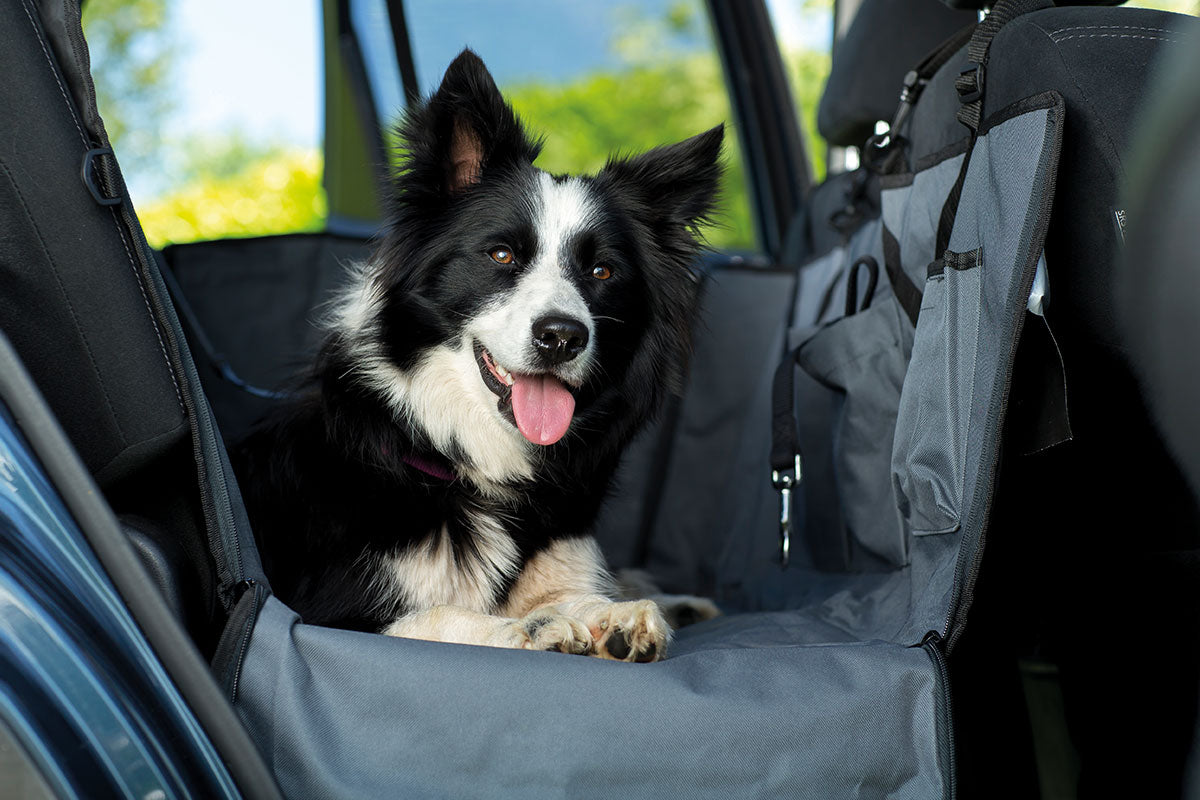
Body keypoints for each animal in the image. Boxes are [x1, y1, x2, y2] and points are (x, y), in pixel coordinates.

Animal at [234, 48, 720, 662]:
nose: (563, 337)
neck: (466, 459)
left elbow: (577, 594)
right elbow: (438, 616)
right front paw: (534, 627)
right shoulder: (323, 613)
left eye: (601, 271)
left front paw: (613, 617)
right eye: (502, 254)